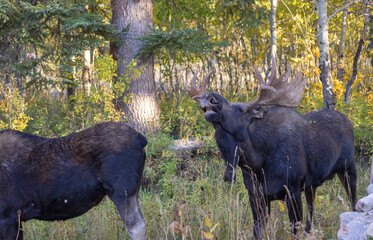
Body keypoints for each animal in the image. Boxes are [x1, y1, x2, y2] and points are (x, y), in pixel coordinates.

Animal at [0, 123, 147, 240]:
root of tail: (141, 139)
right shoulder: (16, 220)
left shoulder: (8, 217)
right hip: (133, 192)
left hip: (122, 191)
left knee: (136, 227)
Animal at [185, 57, 354, 238]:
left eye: (240, 109)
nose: (210, 97)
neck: (257, 164)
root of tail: (349, 121)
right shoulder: (256, 195)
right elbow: (257, 232)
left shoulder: (293, 190)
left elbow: (294, 231)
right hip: (312, 185)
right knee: (312, 209)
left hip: (348, 168)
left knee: (353, 201)